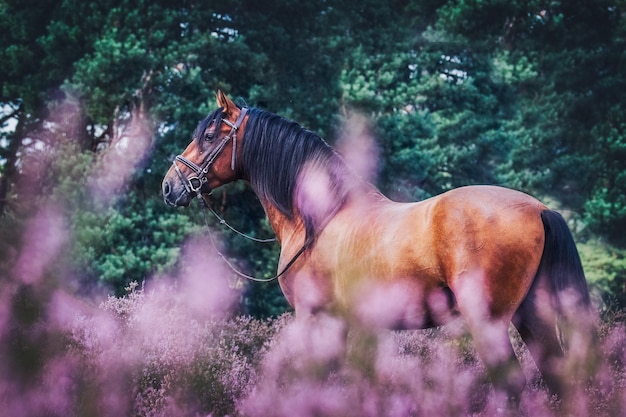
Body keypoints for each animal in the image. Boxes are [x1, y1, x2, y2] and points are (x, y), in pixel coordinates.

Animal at [161, 90, 596, 406]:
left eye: (210, 136)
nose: (170, 185)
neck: (320, 217)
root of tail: (539, 209)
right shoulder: (339, 324)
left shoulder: (312, 317)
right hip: (532, 318)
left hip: (489, 323)